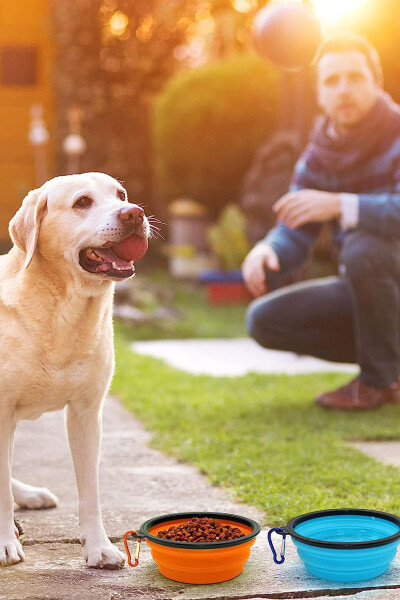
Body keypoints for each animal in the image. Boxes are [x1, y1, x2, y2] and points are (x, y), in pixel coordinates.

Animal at [0, 172, 150, 568]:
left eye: (121, 195)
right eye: (82, 202)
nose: (134, 213)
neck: (62, 312)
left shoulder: (86, 413)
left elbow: (90, 492)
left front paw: (99, 548)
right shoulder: (1, 414)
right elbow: (0, 488)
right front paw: (4, 542)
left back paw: (29, 494)